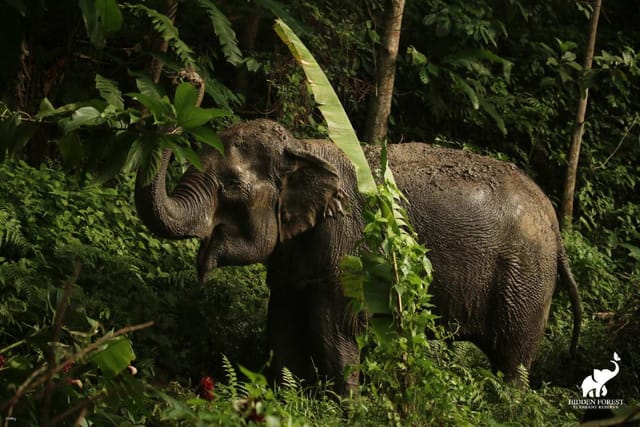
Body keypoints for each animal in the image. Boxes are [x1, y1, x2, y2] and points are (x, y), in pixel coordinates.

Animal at [134, 119, 580, 394]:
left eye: (230, 184)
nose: (188, 77)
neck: (301, 148)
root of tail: (555, 227)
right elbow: (281, 326)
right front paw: (286, 399)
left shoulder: (348, 248)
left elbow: (335, 330)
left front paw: (347, 407)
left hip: (525, 279)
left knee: (513, 359)